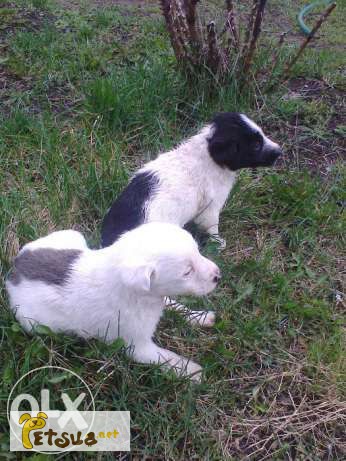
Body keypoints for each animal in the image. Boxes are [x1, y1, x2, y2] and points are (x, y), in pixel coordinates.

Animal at [6, 221, 220, 380]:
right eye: (187, 272)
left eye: (198, 251)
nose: (219, 276)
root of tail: (14, 269)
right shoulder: (137, 346)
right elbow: (167, 358)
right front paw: (192, 371)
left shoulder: (160, 297)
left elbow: (174, 304)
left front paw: (200, 317)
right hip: (33, 323)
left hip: (70, 236)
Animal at [101, 111, 282, 248]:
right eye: (256, 145)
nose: (280, 151)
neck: (208, 155)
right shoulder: (210, 209)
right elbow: (212, 228)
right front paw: (218, 243)